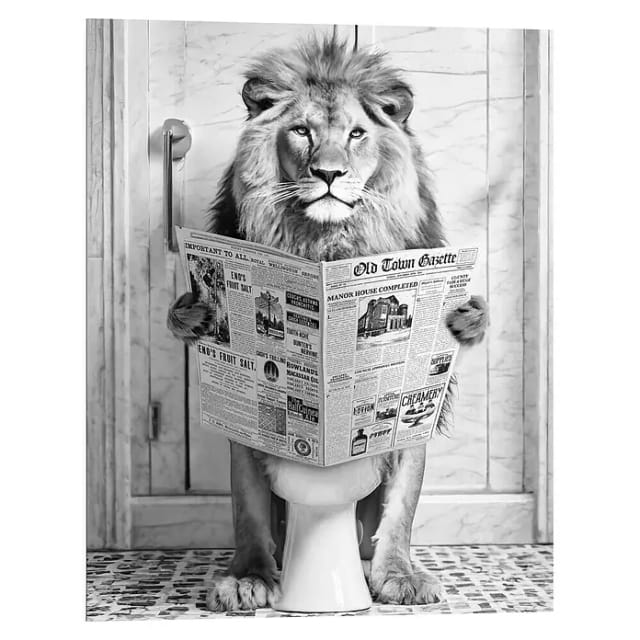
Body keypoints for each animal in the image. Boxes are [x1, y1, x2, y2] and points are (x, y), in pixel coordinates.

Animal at [167, 35, 488, 610]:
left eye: (356, 134)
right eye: (302, 131)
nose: (330, 174)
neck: (323, 245)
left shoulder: (415, 412)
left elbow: (402, 507)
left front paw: (400, 575)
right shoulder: (247, 431)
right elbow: (248, 507)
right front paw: (249, 577)